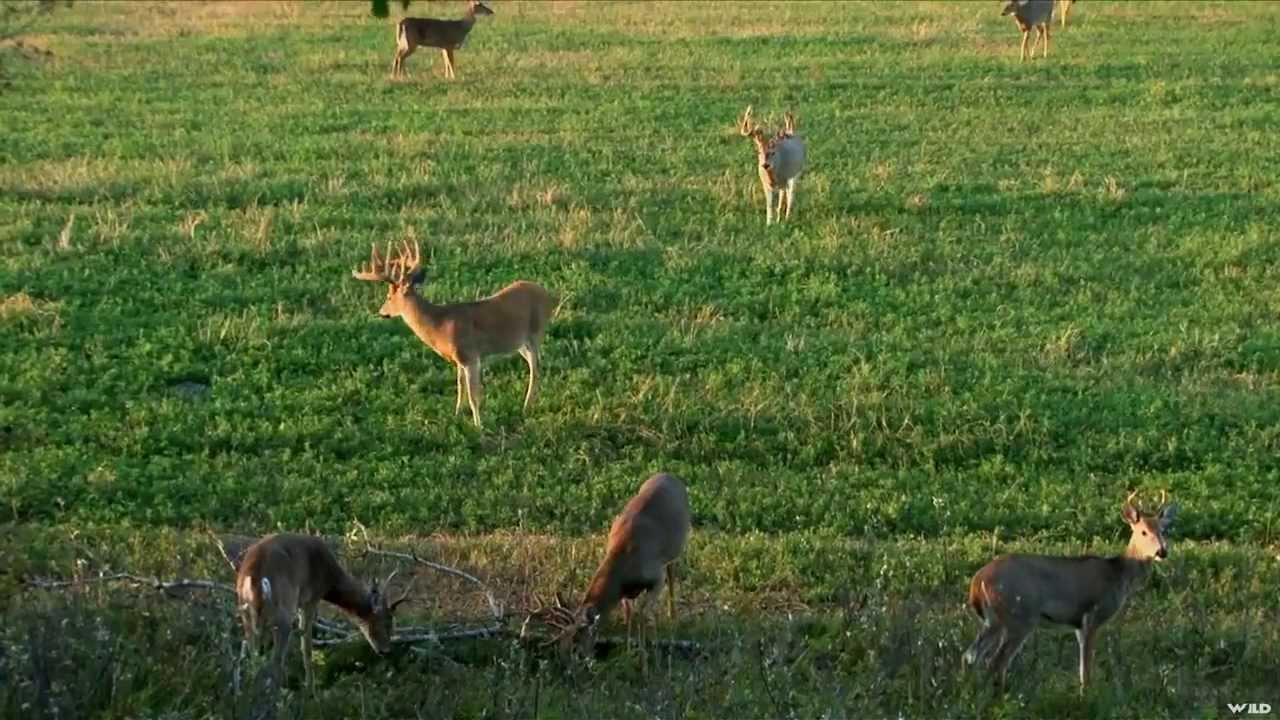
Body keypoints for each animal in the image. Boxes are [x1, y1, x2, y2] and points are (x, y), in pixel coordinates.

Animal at [235, 533, 414, 691]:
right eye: (385, 622)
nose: (385, 651)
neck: (329, 579)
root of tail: (252, 578)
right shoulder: (311, 597)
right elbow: (306, 646)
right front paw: (310, 688)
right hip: (282, 611)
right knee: (275, 661)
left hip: (245, 610)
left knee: (253, 655)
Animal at [351, 240, 554, 429]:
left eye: (388, 297)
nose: (381, 312)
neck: (440, 325)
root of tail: (548, 294)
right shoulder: (459, 361)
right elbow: (460, 387)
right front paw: (456, 414)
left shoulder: (470, 356)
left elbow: (473, 396)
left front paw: (478, 425)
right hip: (520, 343)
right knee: (534, 364)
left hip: (535, 333)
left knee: (536, 367)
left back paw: (526, 407)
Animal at [534, 473, 691, 671]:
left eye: (576, 642)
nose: (566, 665)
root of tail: (670, 475)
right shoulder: (625, 592)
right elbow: (630, 614)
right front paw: (628, 652)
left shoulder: (656, 575)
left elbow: (642, 615)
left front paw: (645, 662)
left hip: (678, 547)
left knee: (672, 573)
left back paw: (673, 617)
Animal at [962, 491, 1179, 694]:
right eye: (1143, 532)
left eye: (1163, 530)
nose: (1162, 552)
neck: (1118, 574)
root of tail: (977, 581)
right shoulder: (1092, 614)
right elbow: (1087, 668)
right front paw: (1086, 696)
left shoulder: (1078, 624)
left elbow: (1082, 668)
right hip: (1019, 616)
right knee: (995, 661)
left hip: (993, 621)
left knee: (970, 656)